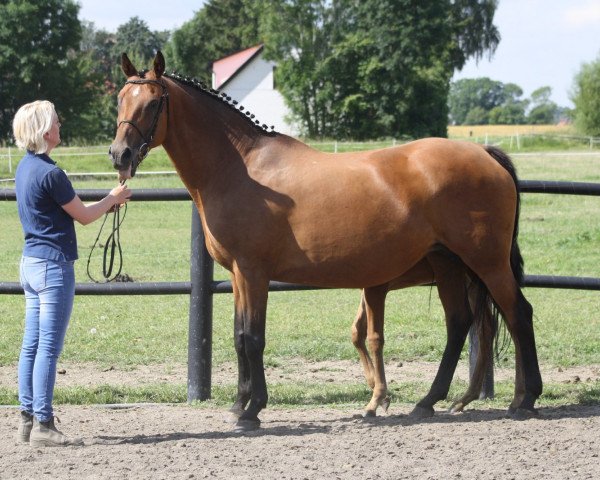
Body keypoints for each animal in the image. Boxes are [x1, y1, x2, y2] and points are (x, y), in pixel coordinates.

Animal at [109, 52, 544, 432]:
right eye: (120, 100)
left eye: (152, 103)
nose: (119, 155)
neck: (241, 168)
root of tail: (485, 154)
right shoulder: (236, 275)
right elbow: (238, 337)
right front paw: (239, 403)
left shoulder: (253, 272)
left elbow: (253, 338)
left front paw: (253, 410)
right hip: (448, 263)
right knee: (459, 324)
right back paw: (428, 402)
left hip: (486, 262)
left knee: (518, 314)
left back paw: (525, 400)